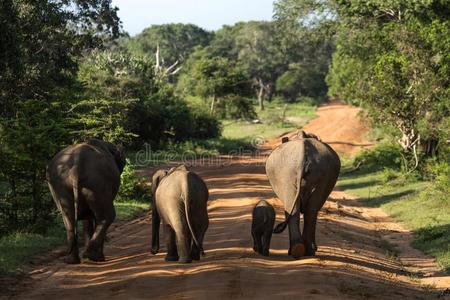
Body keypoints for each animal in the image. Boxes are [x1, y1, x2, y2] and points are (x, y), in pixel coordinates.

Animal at [266, 131, 340, 260]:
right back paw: (302, 250)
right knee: (309, 210)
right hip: (297, 173)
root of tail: (302, 156)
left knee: (304, 209)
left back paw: (300, 250)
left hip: (290, 173)